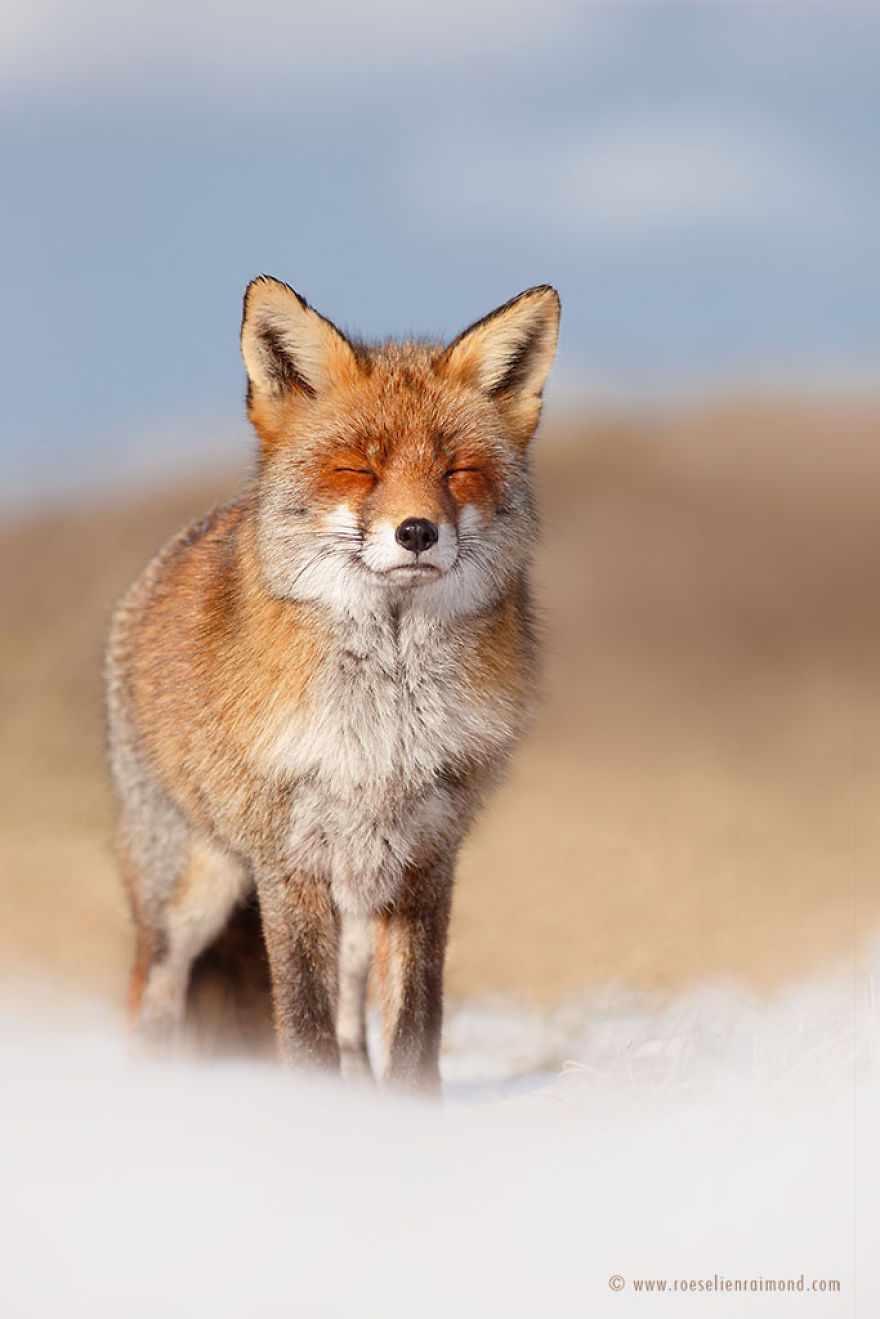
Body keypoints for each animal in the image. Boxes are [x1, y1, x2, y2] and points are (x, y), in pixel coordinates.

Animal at [105, 276, 560, 1093]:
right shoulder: (289, 865)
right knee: (151, 995)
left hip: (356, 897)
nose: (418, 532)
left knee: (354, 1024)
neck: (387, 724)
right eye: (358, 469)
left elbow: (413, 1030)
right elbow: (303, 1028)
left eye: (456, 471)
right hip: (189, 893)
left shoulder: (424, 860)